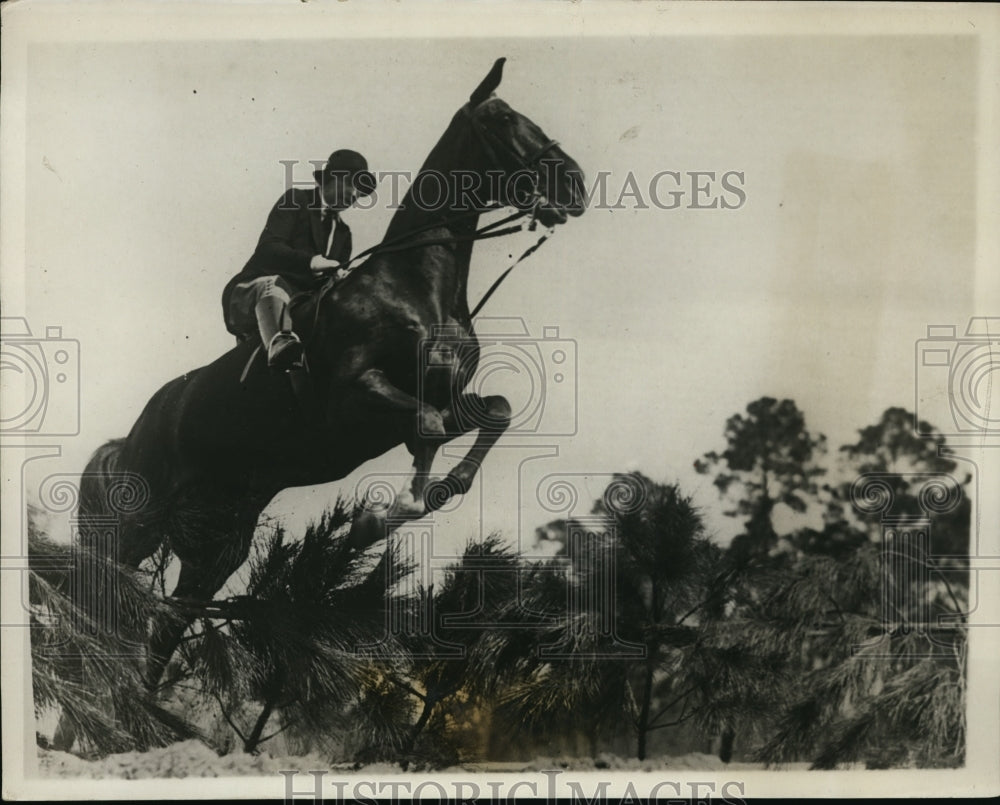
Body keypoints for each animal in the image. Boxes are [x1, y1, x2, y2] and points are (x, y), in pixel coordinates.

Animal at [68, 56, 584, 700]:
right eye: (503, 119)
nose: (576, 186)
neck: (416, 287)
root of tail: (135, 430)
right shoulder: (354, 401)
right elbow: (427, 428)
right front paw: (384, 515)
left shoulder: (442, 400)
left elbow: (493, 412)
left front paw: (418, 501)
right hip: (140, 520)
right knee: (103, 601)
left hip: (217, 542)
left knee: (165, 625)